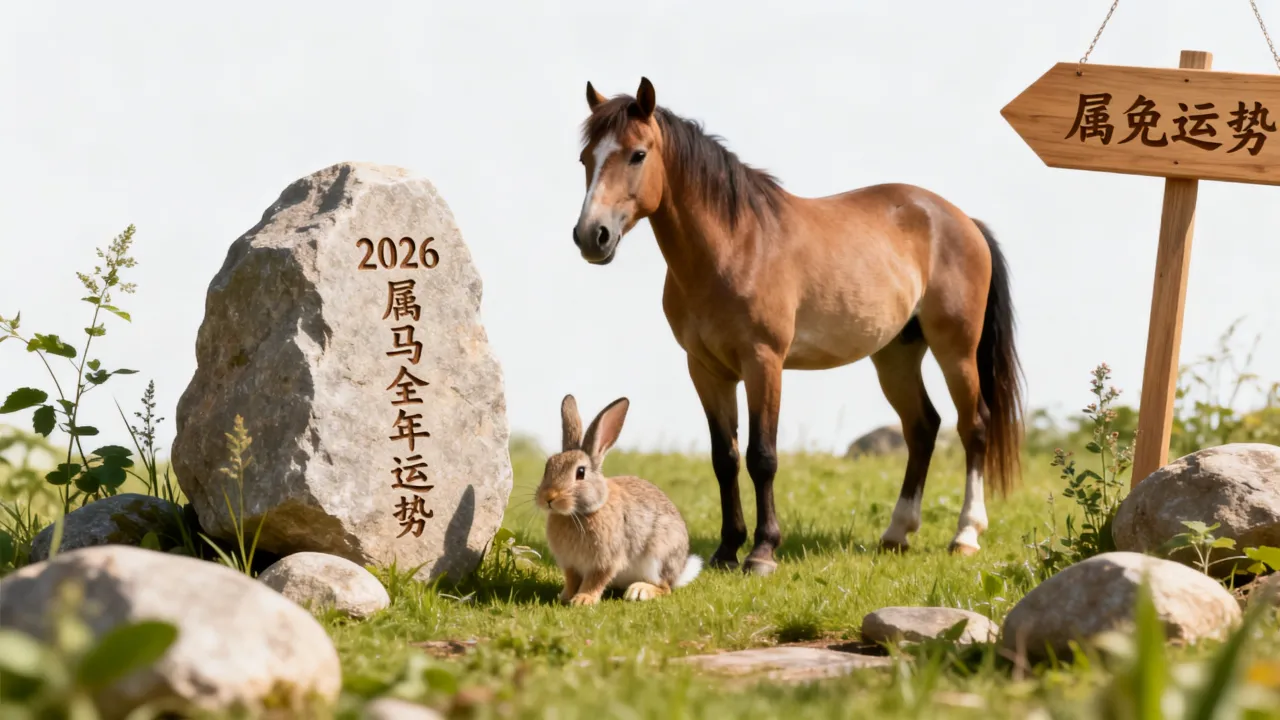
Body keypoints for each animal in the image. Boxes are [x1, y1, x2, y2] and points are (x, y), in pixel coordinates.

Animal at [570, 77, 1025, 576]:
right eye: (586, 157)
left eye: (637, 154)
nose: (591, 236)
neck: (735, 245)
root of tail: (962, 220)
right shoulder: (706, 370)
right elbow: (724, 458)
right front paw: (727, 549)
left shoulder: (763, 362)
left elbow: (762, 456)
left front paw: (762, 552)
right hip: (896, 355)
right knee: (922, 427)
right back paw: (896, 533)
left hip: (955, 350)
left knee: (973, 426)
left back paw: (965, 535)